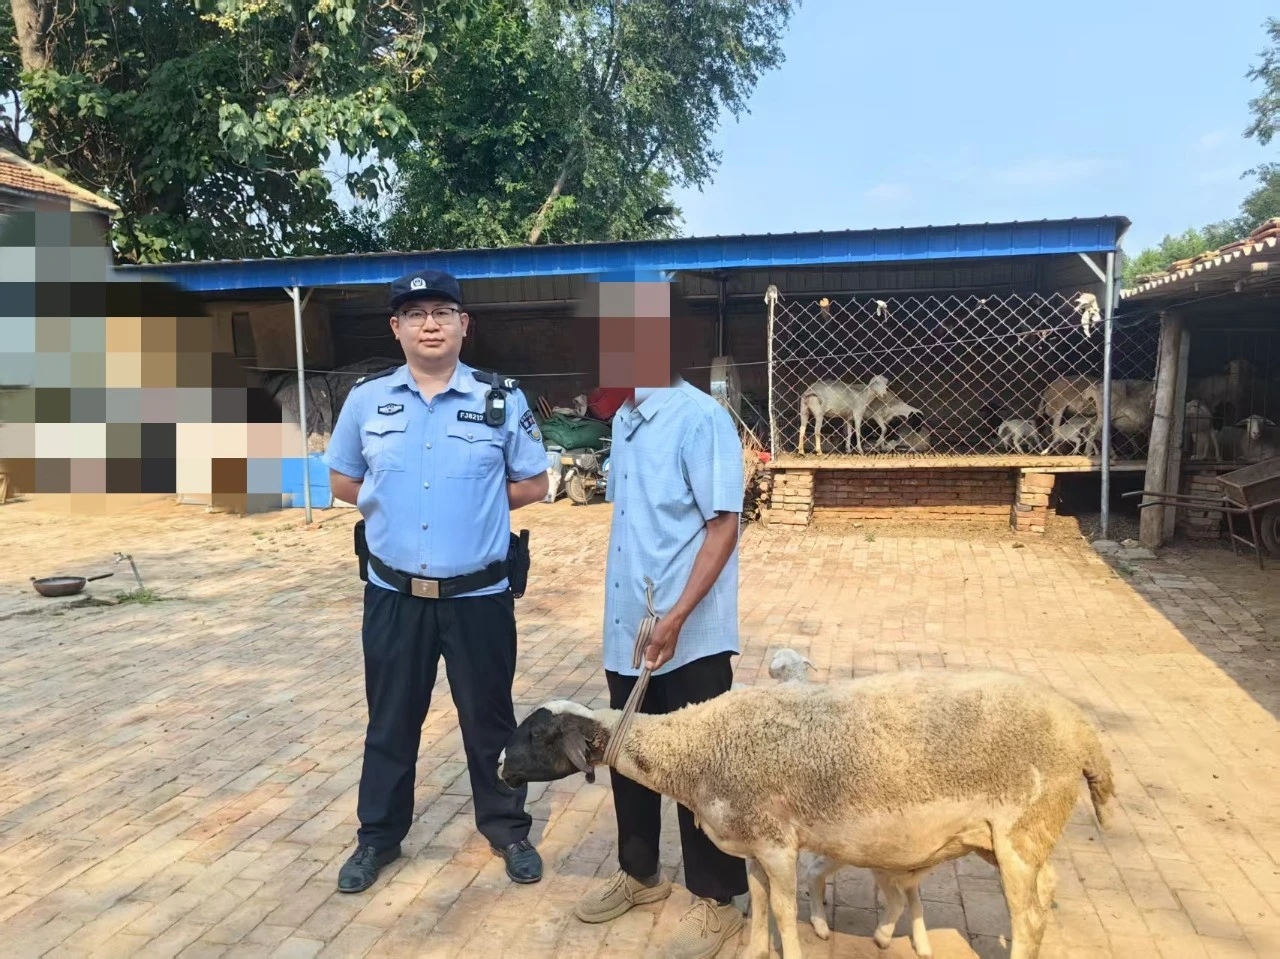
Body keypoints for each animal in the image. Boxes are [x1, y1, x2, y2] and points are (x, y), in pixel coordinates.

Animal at [498, 669, 1116, 959]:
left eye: (536, 734)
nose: (502, 765)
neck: (694, 747)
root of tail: (1086, 737)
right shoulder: (751, 845)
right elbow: (759, 905)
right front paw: (754, 952)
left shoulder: (778, 844)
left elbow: (784, 915)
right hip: (1023, 834)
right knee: (1044, 895)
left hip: (1020, 831)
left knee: (1028, 916)